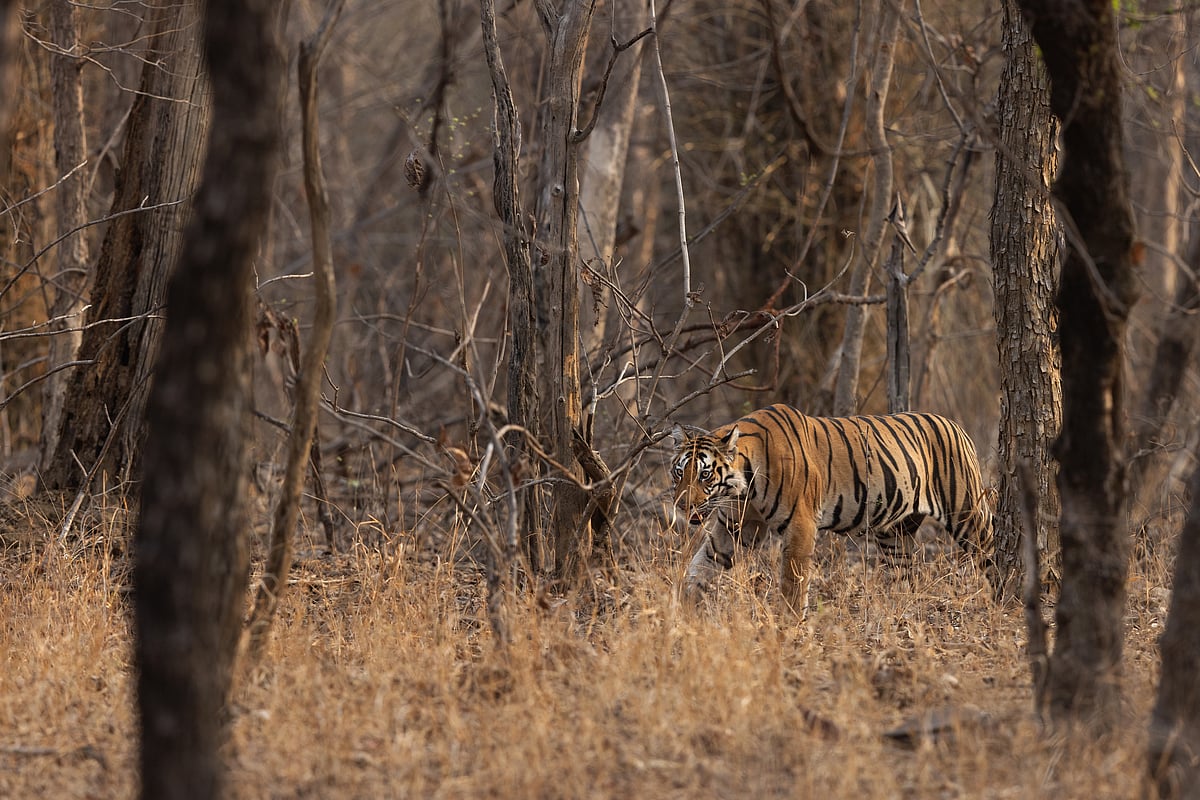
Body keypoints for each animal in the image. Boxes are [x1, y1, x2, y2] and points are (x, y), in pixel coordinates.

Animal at [667, 403, 993, 615]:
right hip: (895, 534)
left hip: (967, 513)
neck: (744, 487)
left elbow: (793, 581)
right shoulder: (733, 528)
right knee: (905, 576)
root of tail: (956, 425)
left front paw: (789, 625)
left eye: (704, 474)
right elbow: (702, 566)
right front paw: (682, 610)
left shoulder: (800, 525)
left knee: (990, 549)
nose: (682, 505)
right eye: (678, 472)